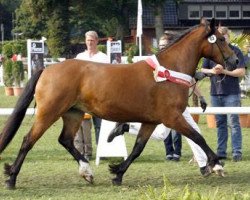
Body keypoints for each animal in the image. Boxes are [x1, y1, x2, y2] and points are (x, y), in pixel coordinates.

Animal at [0, 17, 237, 189]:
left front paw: (117, 173)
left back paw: (87, 172)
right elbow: (197, 136)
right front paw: (216, 165)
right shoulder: (172, 118)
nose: (234, 61)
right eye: (221, 40)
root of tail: (47, 69)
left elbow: (137, 148)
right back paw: (11, 178)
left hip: (73, 113)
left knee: (65, 140)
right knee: (28, 140)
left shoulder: (151, 121)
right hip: (49, 112)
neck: (168, 71)